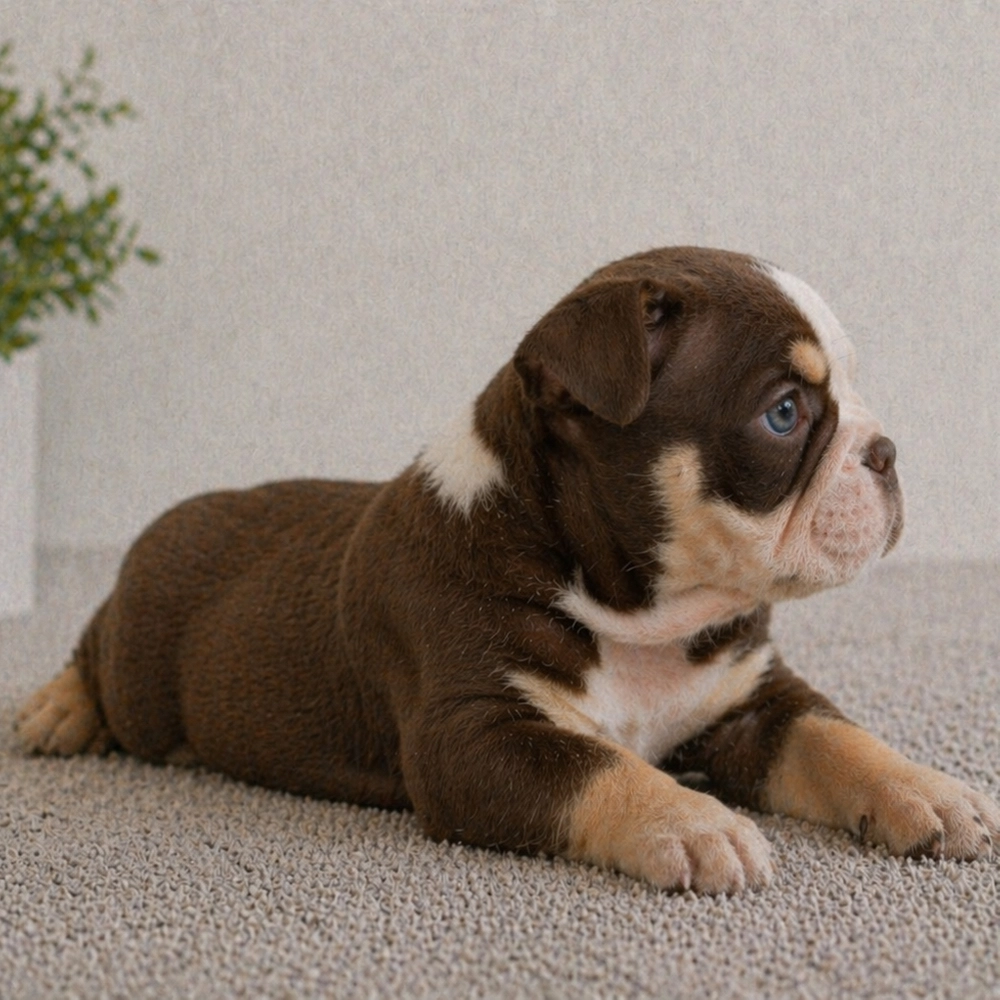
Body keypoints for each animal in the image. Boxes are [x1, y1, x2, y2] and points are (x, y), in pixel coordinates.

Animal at [17, 246, 999, 894]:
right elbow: (599, 766)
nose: (887, 452)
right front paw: (695, 822)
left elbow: (836, 737)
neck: (638, 609)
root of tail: (179, 514)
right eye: (785, 413)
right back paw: (59, 707)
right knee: (97, 647)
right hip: (146, 668)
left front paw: (931, 790)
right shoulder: (475, 737)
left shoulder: (752, 697)